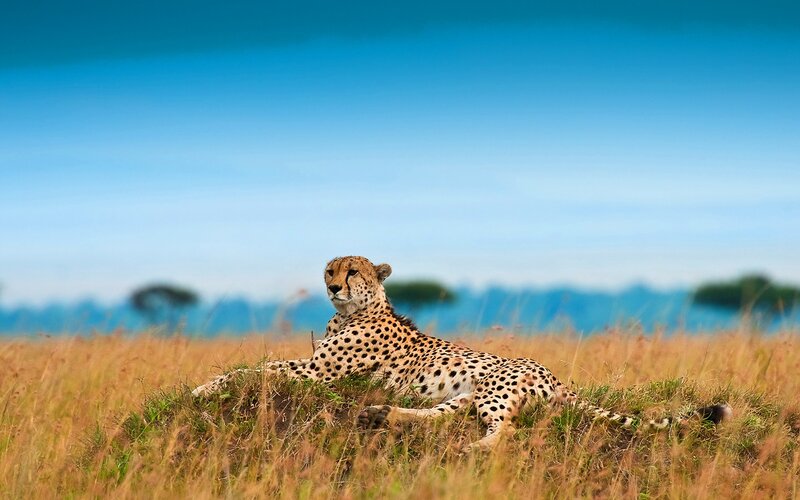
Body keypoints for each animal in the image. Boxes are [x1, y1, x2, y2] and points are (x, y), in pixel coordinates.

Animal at [192, 255, 731, 451]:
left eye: (352, 271)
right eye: (330, 269)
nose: (331, 286)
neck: (352, 311)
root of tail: (557, 377)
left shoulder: (318, 372)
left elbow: (256, 368)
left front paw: (203, 387)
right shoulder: (314, 366)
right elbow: (259, 366)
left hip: (492, 390)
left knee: (505, 430)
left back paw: (470, 448)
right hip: (467, 394)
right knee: (442, 416)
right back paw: (382, 414)